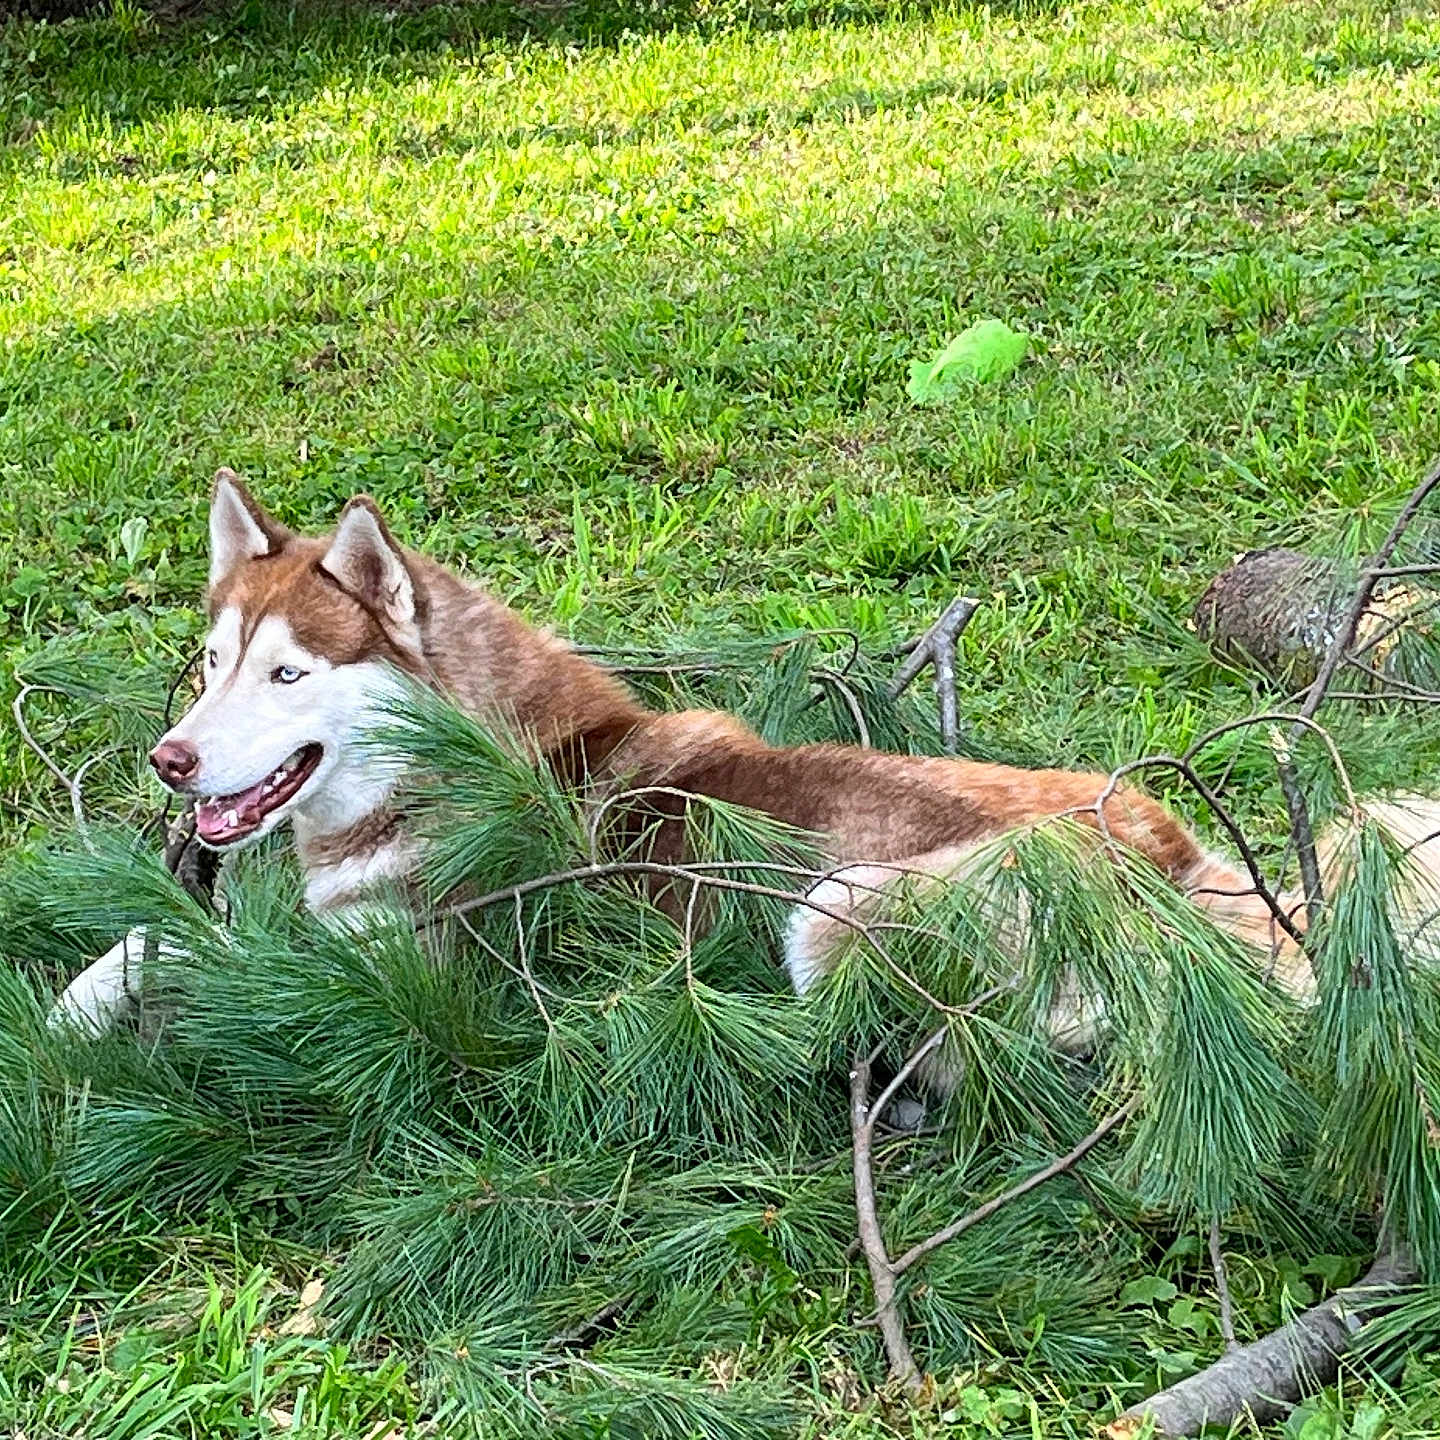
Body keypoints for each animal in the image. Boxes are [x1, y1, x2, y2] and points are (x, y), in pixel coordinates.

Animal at [51, 470, 1440, 1043]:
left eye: (289, 675)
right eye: (212, 662)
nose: (173, 762)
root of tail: (1180, 857)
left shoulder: (397, 966)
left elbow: (219, 968)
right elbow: (150, 938)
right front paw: (75, 1003)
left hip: (836, 912)